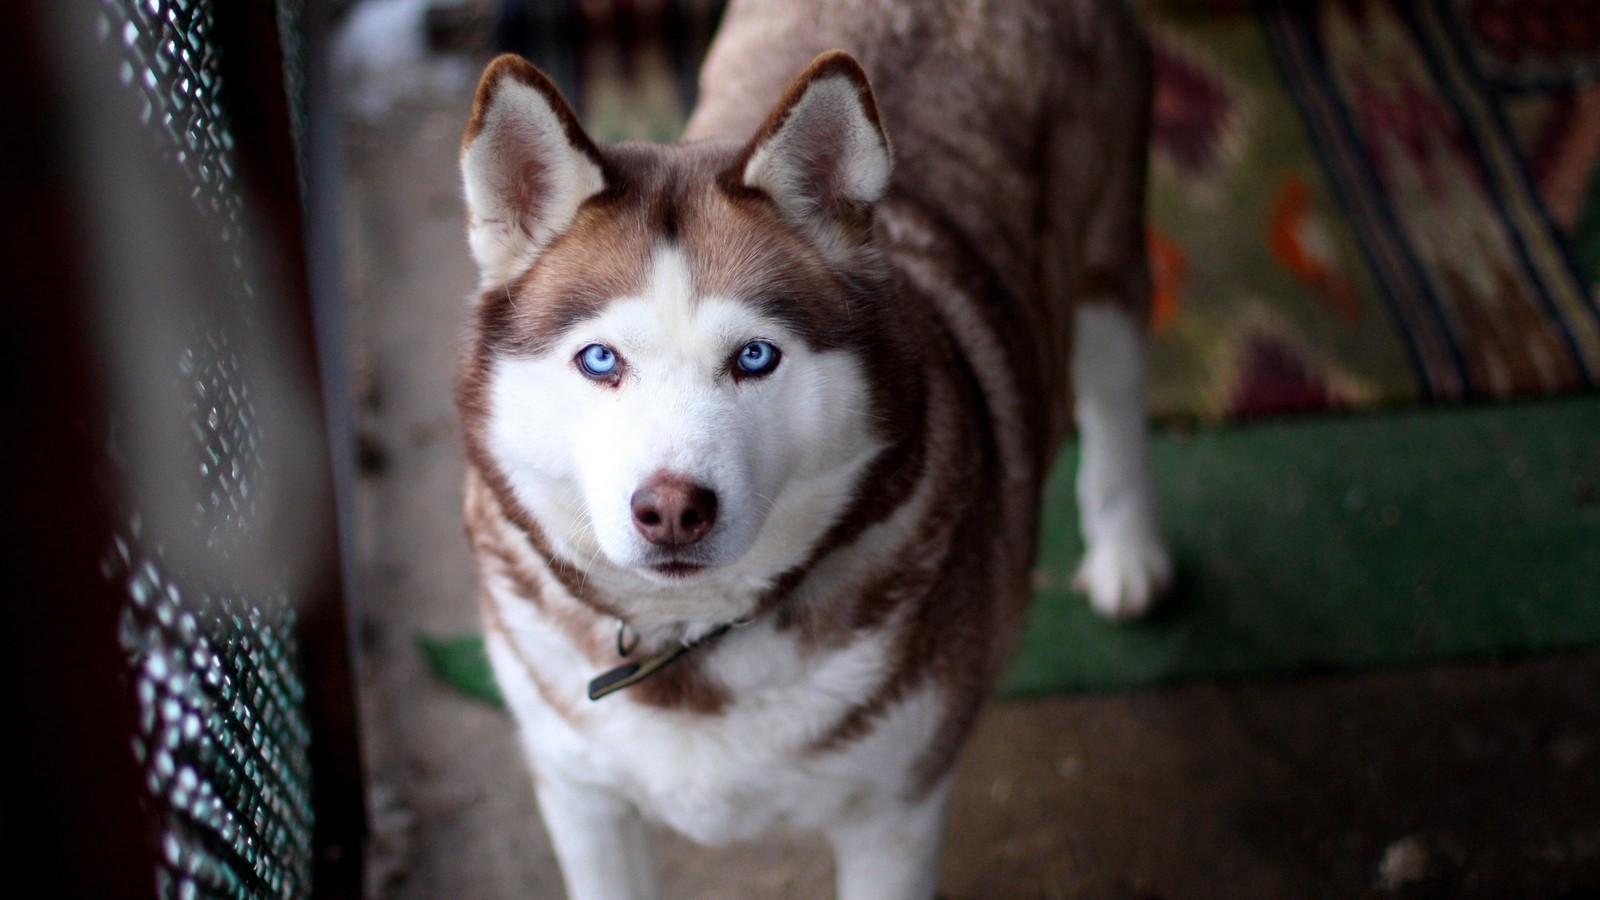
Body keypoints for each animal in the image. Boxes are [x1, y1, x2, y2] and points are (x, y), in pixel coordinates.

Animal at [457, 3, 1171, 890]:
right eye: (599, 360)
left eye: (755, 357)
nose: (672, 509)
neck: (692, 643)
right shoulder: (579, 793)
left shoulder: (895, 812)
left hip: (1109, 256)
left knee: (1114, 390)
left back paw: (1127, 552)